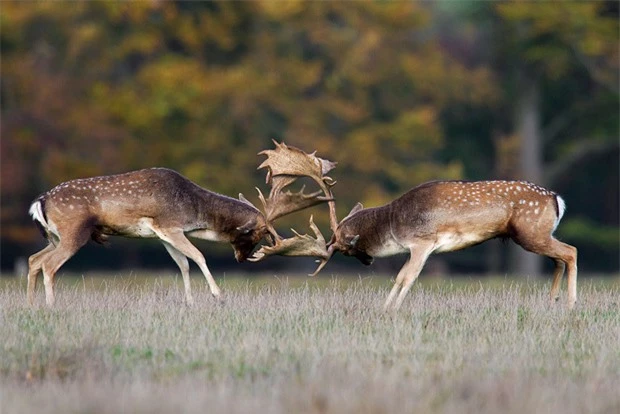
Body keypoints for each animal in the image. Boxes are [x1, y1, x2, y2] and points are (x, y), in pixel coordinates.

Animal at [27, 144, 334, 306]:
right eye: (256, 234)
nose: (242, 258)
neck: (194, 211)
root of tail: (40, 201)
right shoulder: (169, 226)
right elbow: (198, 256)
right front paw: (218, 294)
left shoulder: (163, 234)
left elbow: (183, 264)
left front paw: (189, 301)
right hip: (73, 232)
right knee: (49, 265)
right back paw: (51, 305)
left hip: (54, 237)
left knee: (33, 260)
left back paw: (34, 304)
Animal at [249, 147, 580, 312]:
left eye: (344, 248)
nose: (367, 261)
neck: (395, 223)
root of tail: (557, 199)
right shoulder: (415, 246)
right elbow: (400, 276)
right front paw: (385, 310)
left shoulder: (423, 242)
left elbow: (406, 277)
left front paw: (391, 311)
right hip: (536, 234)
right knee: (558, 259)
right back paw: (552, 302)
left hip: (531, 231)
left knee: (570, 251)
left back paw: (571, 304)